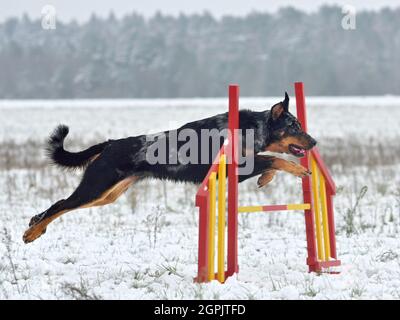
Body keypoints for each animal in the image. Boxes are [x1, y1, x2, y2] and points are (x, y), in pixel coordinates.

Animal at [22, 92, 316, 242]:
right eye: (294, 126)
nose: (314, 141)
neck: (251, 128)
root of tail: (110, 144)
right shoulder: (238, 166)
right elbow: (276, 159)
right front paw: (299, 170)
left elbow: (272, 161)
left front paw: (266, 179)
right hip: (95, 187)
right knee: (60, 204)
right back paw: (32, 232)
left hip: (107, 195)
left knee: (60, 206)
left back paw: (35, 225)